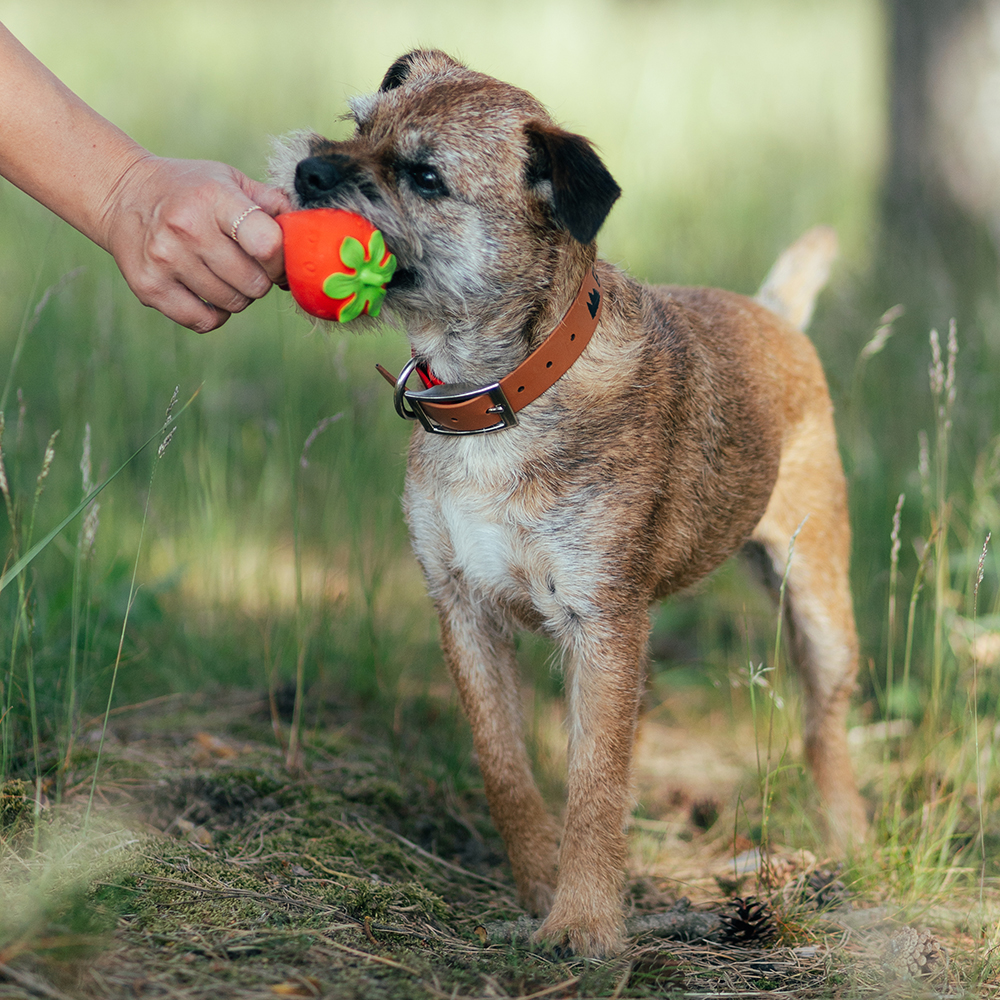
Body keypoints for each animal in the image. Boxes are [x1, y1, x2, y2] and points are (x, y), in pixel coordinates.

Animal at [274, 50, 868, 956]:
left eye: (425, 176)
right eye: (357, 123)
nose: (309, 171)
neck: (497, 391)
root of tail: (774, 318)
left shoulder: (604, 620)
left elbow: (595, 783)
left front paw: (585, 922)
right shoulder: (463, 609)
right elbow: (506, 766)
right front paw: (538, 890)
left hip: (817, 598)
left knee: (824, 724)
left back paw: (845, 844)